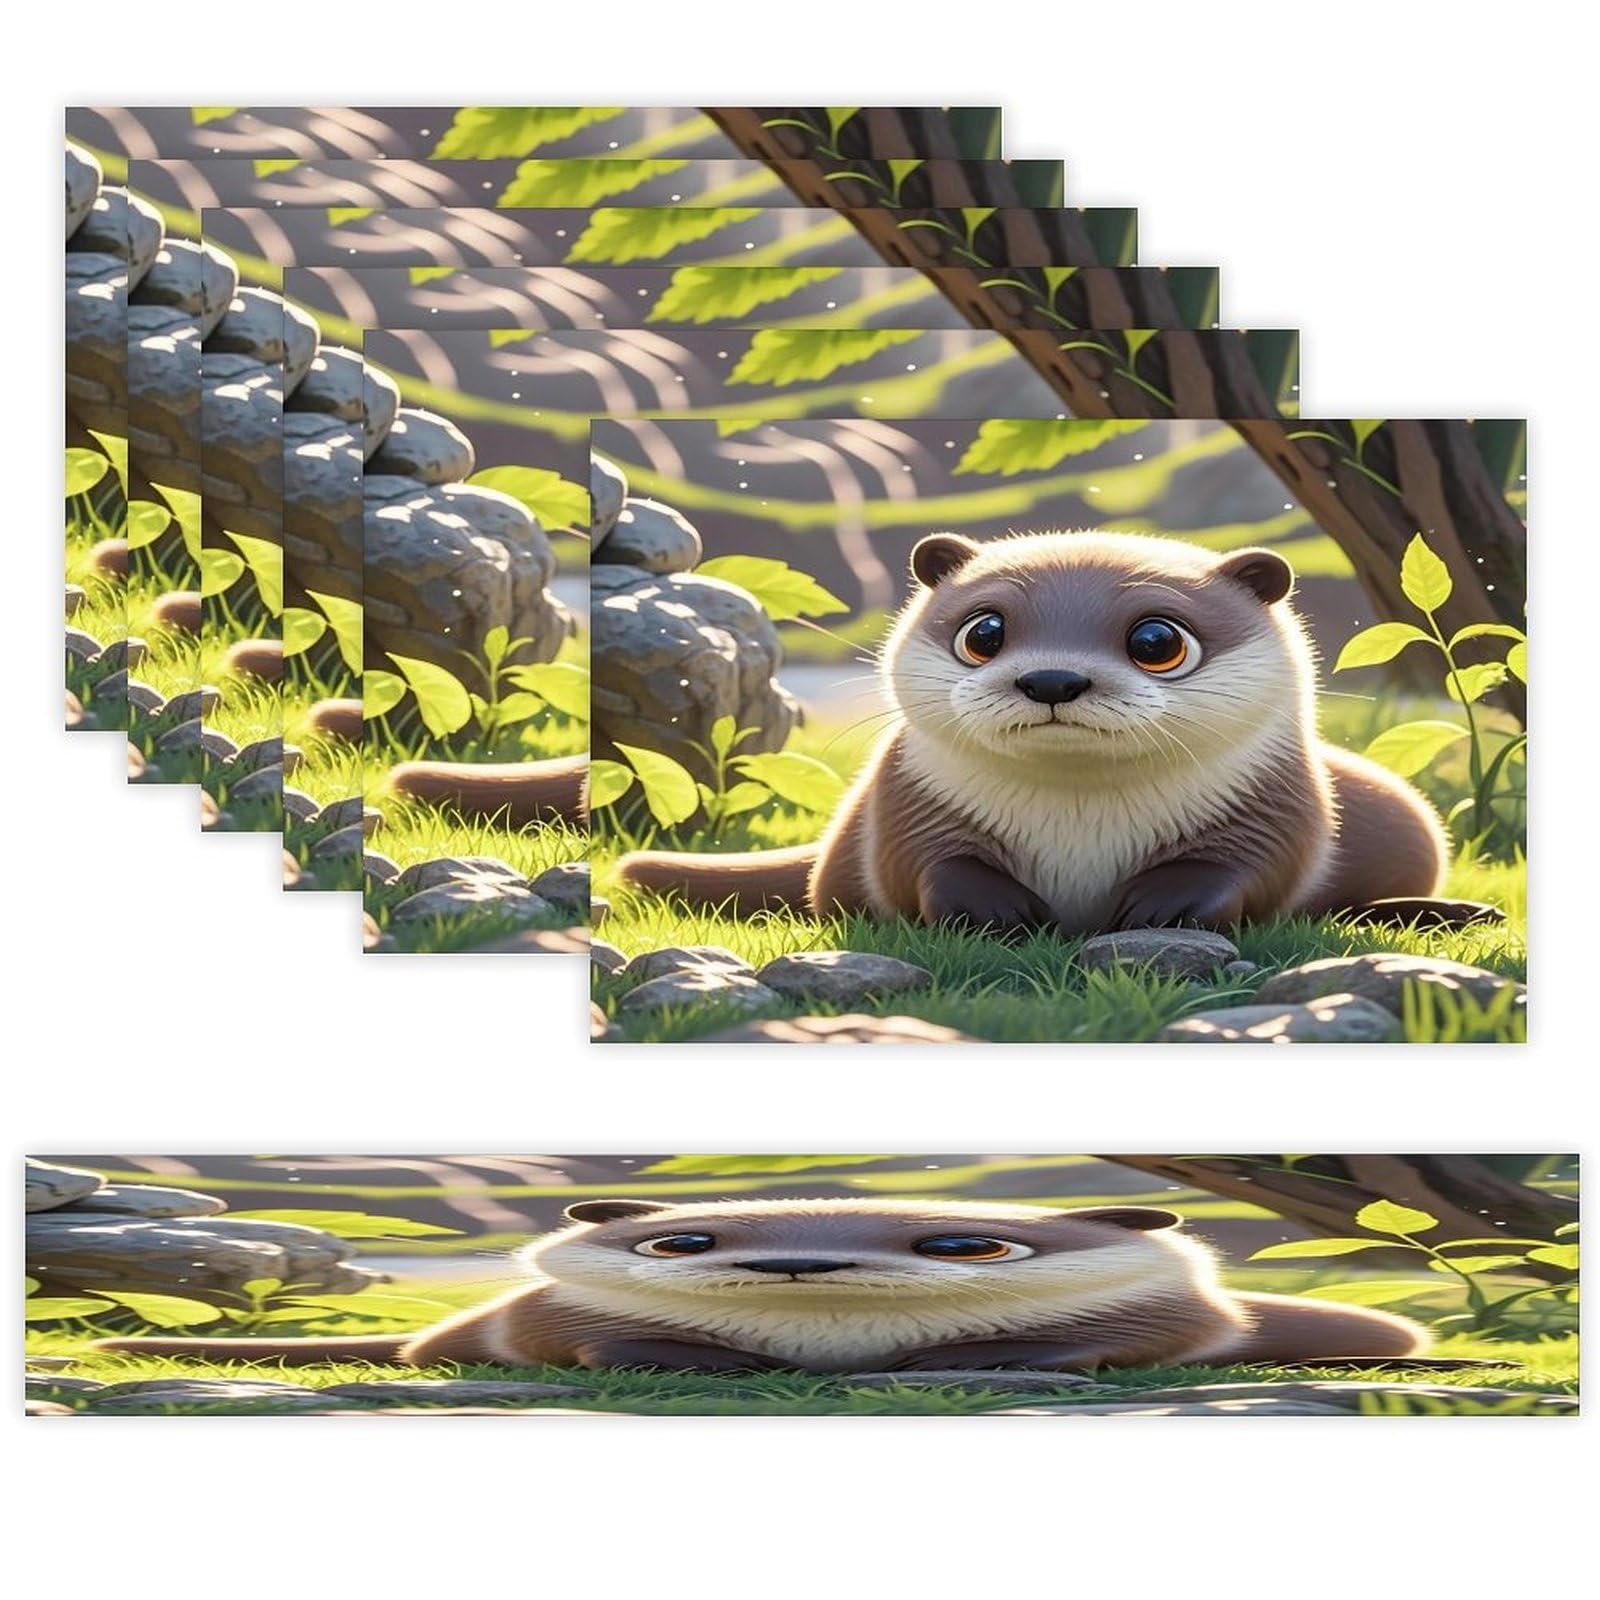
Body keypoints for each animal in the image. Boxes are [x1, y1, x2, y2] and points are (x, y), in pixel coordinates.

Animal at [616, 531, 1459, 932]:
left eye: (1157, 640)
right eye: (984, 632)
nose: (1052, 679)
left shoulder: (1275, 799)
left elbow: (1257, 863)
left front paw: (1162, 909)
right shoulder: (905, 799)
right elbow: (921, 863)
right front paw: (1000, 912)